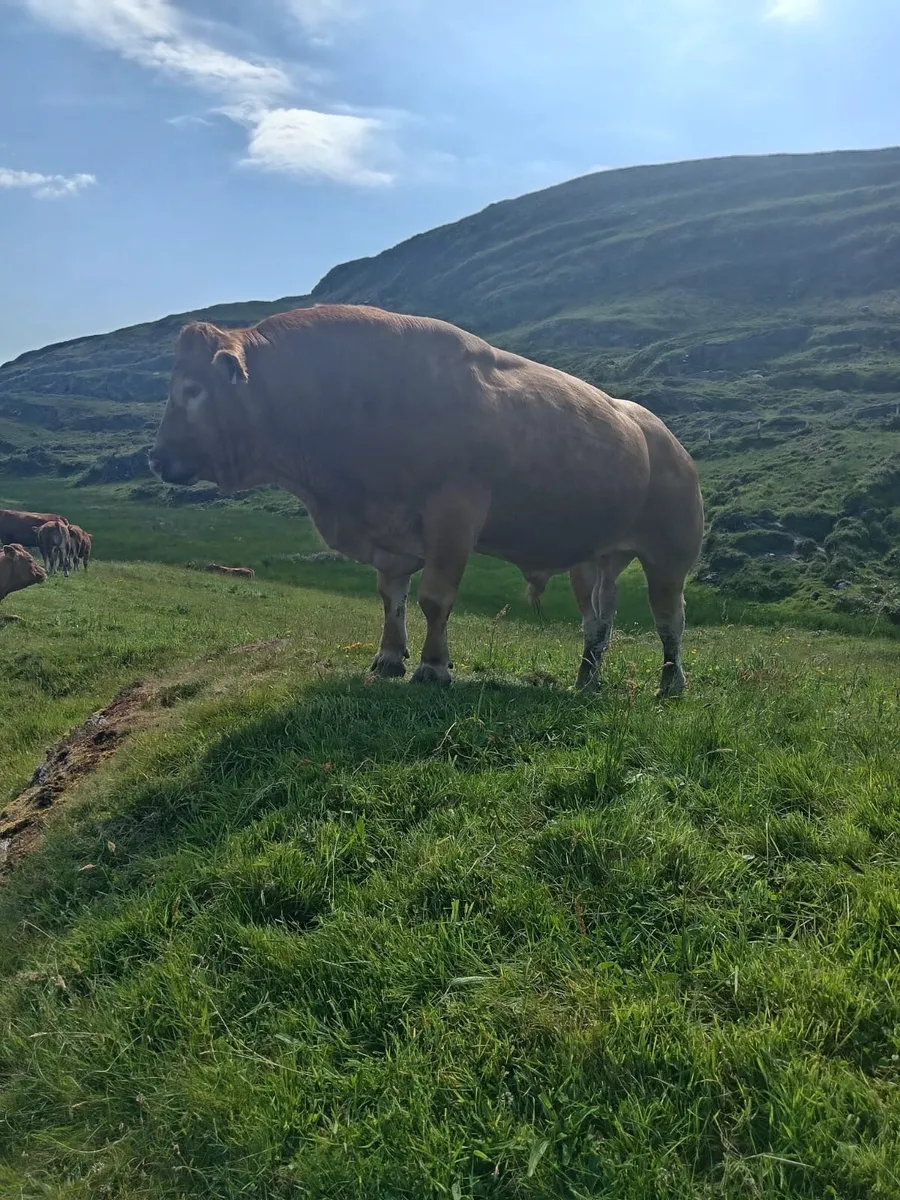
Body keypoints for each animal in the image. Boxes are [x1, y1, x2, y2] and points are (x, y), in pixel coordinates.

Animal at [150, 305, 704, 695]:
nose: (156, 459)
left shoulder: (454, 514)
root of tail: (666, 439)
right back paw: (586, 681)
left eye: (193, 389)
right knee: (598, 621)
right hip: (592, 558)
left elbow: (436, 597)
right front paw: (389, 658)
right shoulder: (390, 536)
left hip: (670, 555)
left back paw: (670, 684)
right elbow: (390, 598)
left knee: (669, 620)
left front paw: (434, 666)